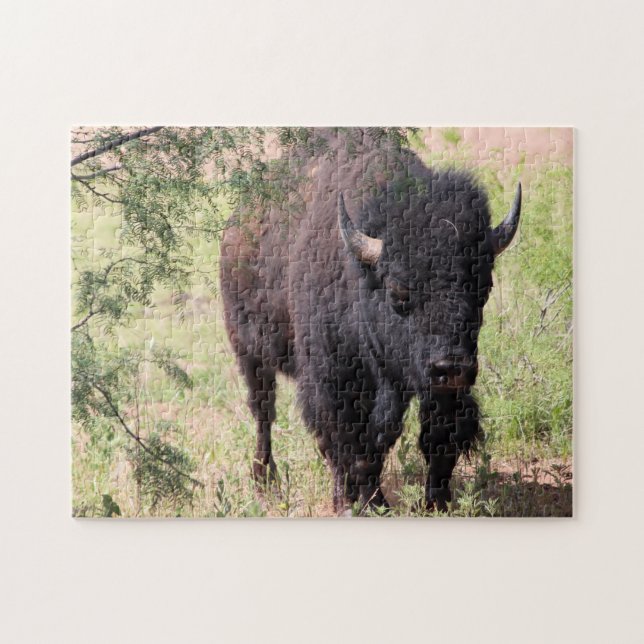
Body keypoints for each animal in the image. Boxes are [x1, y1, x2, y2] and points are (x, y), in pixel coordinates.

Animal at [220, 129, 521, 514]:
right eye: (398, 291)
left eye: (483, 287)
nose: (451, 366)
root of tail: (235, 227)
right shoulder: (333, 377)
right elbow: (345, 439)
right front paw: (352, 503)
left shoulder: (429, 383)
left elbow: (427, 437)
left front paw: (433, 503)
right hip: (249, 351)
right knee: (264, 412)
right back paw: (265, 480)